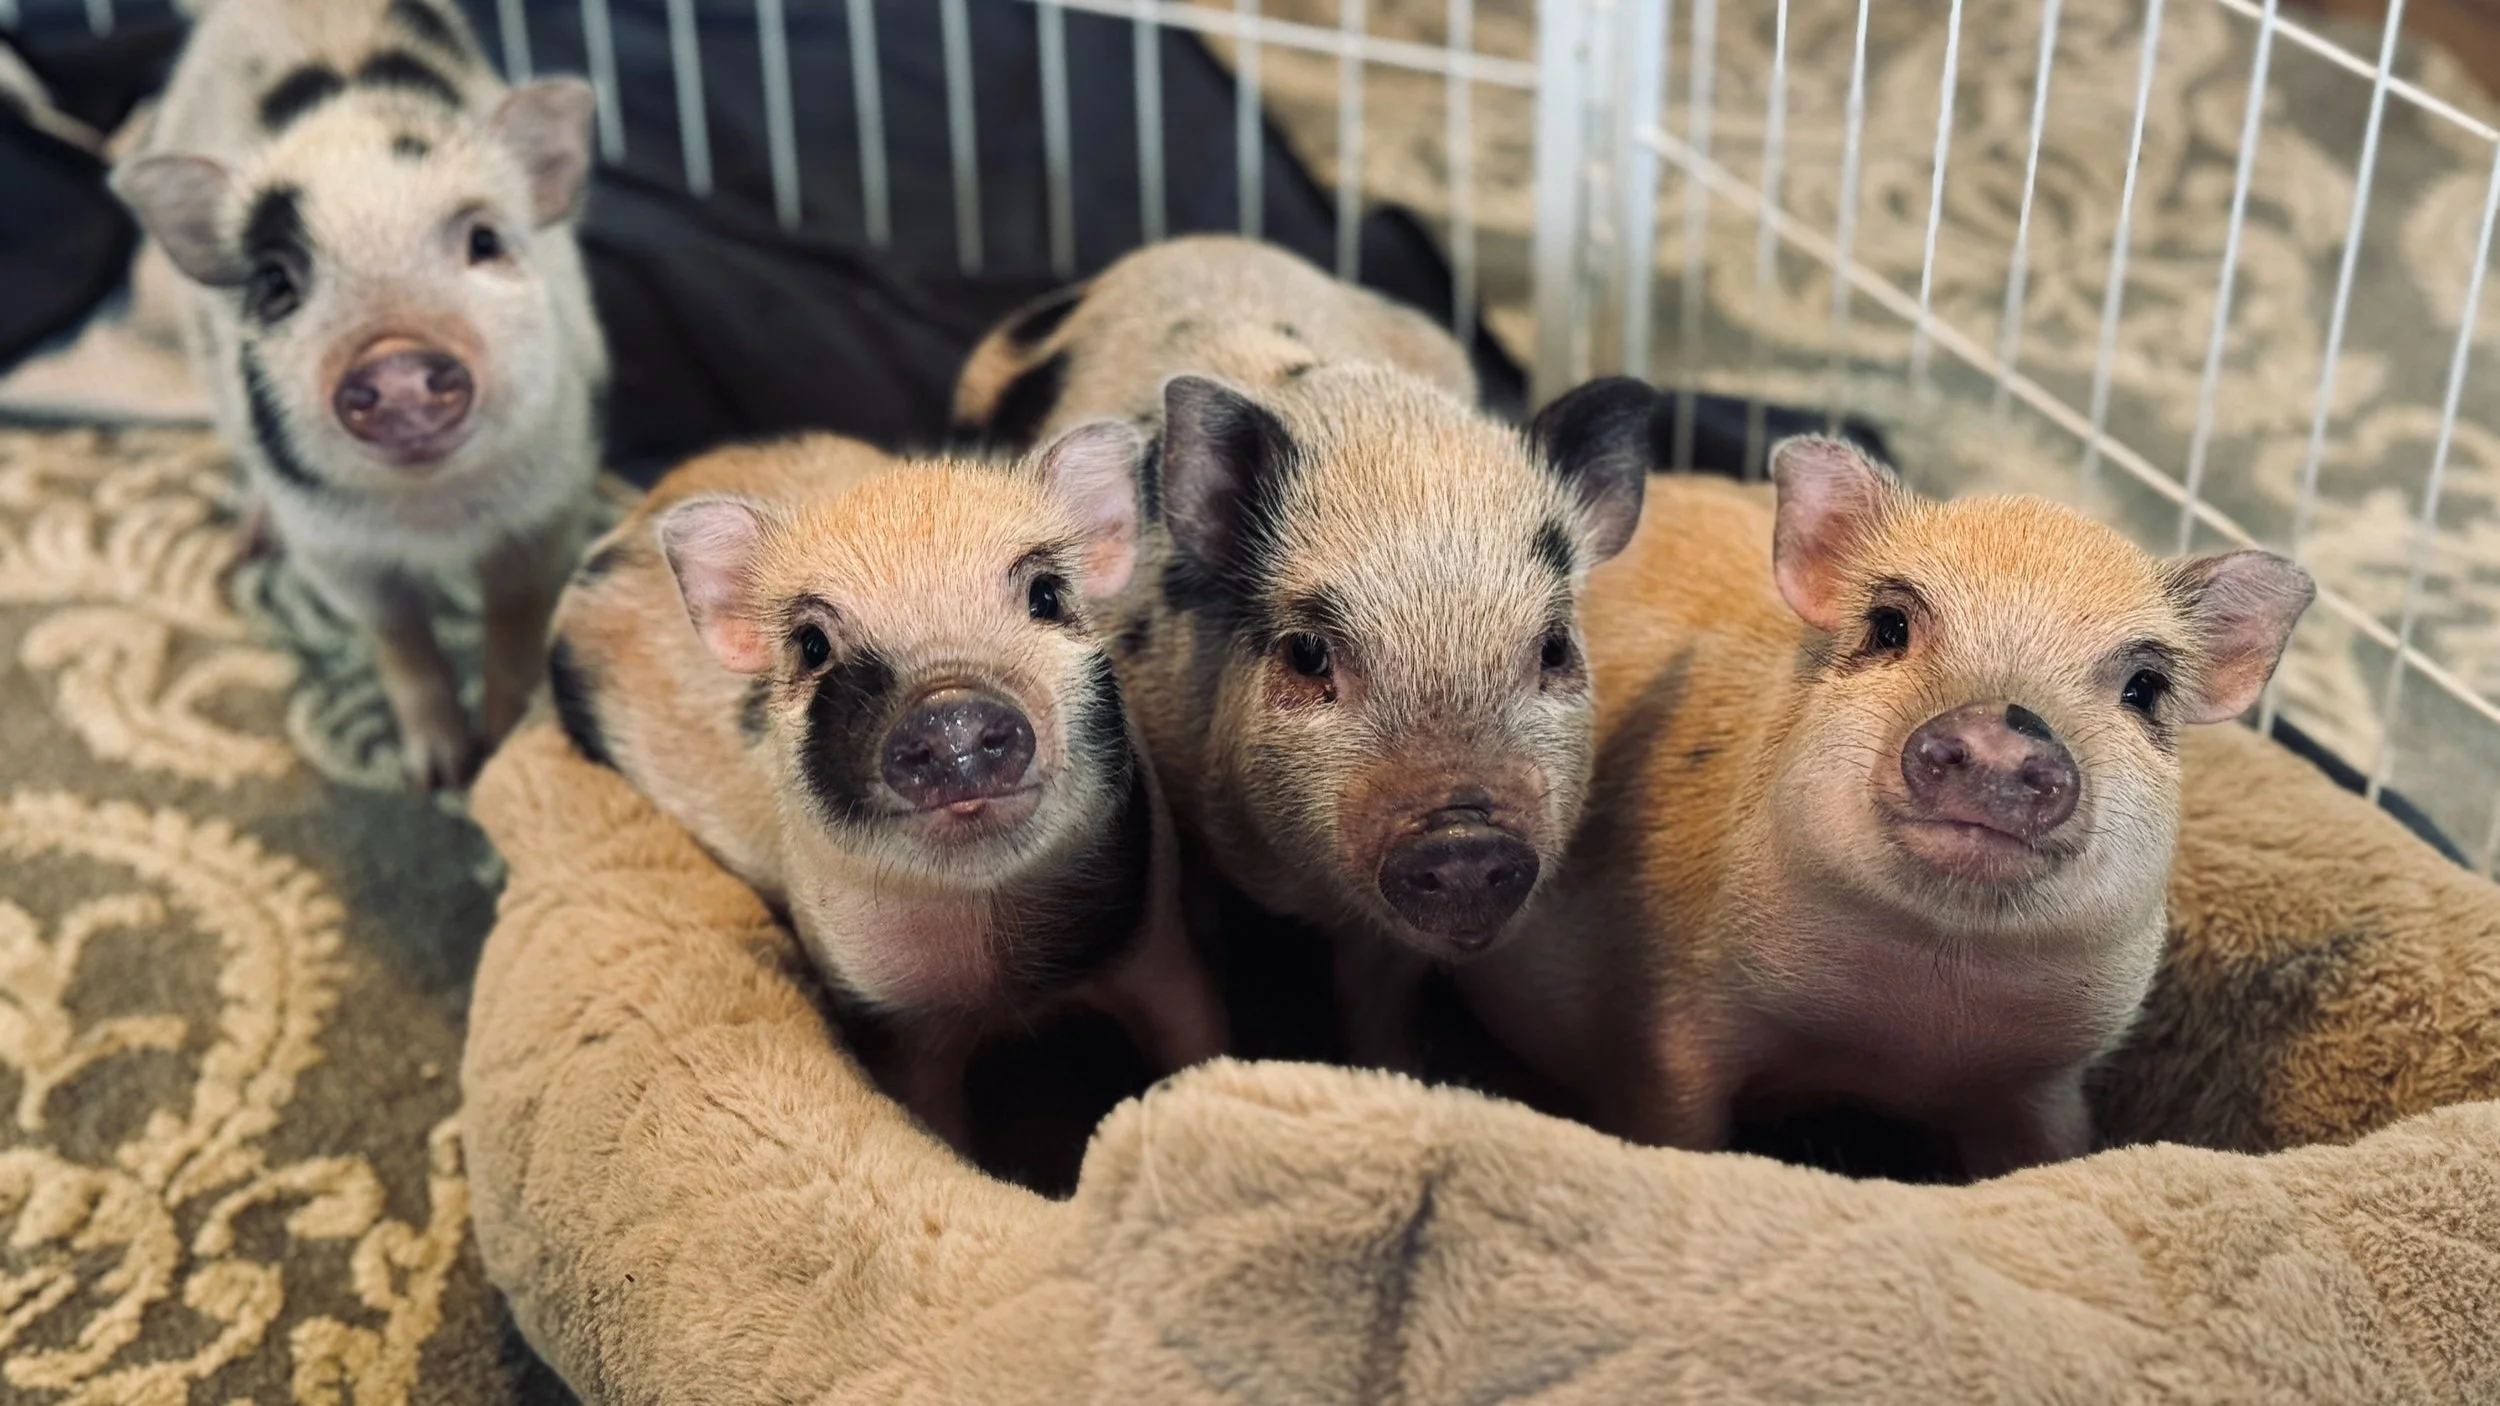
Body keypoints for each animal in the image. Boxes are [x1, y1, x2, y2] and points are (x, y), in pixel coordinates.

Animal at [109, 0, 606, 789]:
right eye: (276, 282)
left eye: (485, 240)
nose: (394, 358)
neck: (434, 517)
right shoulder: (331, 542)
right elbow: (396, 635)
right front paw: (437, 774)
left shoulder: (551, 501)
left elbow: (515, 620)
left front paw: (499, 745)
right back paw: (247, 546)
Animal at [545, 423, 1228, 1153]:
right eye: (813, 645)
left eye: (1046, 596)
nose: (950, 710)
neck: (1001, 971)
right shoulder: (889, 1017)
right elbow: (934, 1127)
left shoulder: (1156, 934)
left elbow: (1194, 1036)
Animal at [1459, 434, 2315, 1178]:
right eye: (1889, 626)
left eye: (2144, 689)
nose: (2005, 726)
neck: (1904, 1034)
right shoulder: (1670, 1019)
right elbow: (1677, 1120)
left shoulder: (2041, 1087)